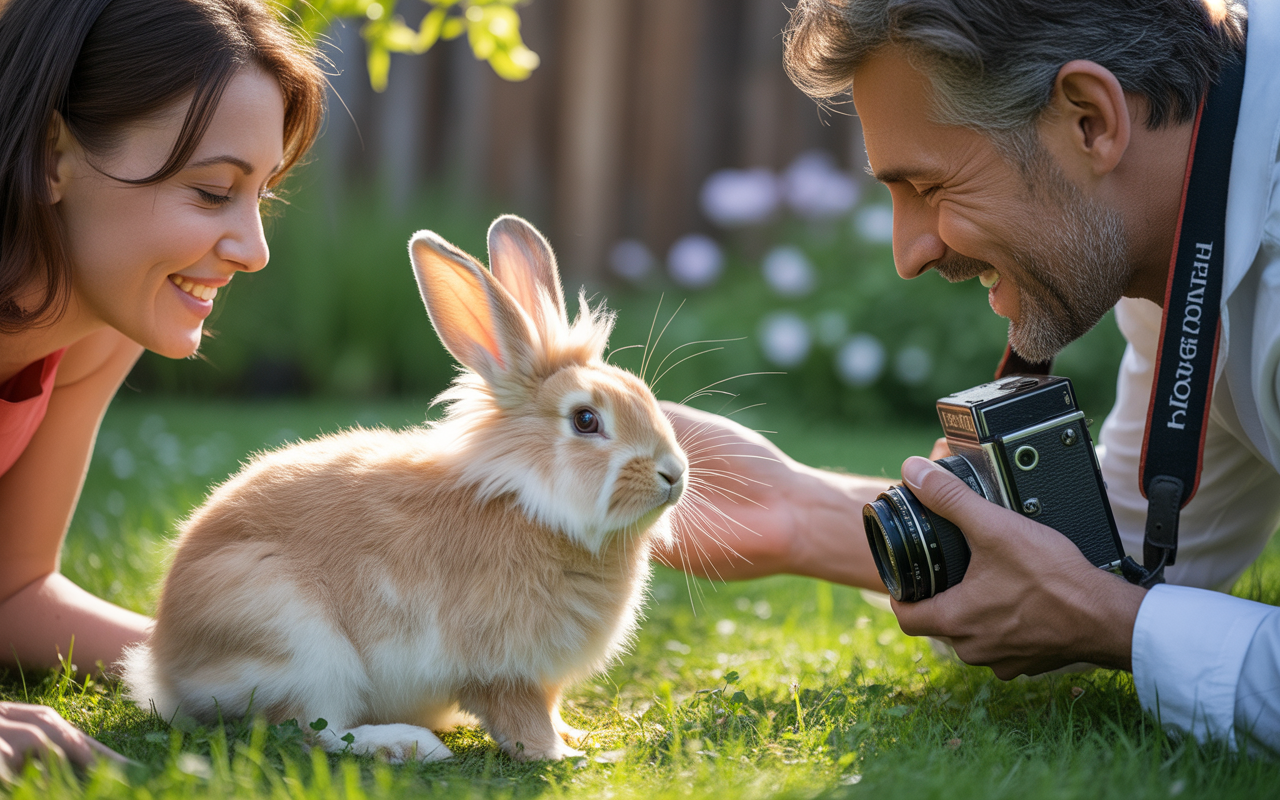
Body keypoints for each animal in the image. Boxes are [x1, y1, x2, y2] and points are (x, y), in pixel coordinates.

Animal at [120, 215, 688, 762]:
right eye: (586, 420)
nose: (674, 473)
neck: (533, 505)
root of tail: (167, 669)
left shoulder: (541, 679)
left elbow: (551, 713)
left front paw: (583, 738)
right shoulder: (506, 670)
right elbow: (525, 726)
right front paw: (576, 758)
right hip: (300, 646)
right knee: (310, 732)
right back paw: (410, 746)